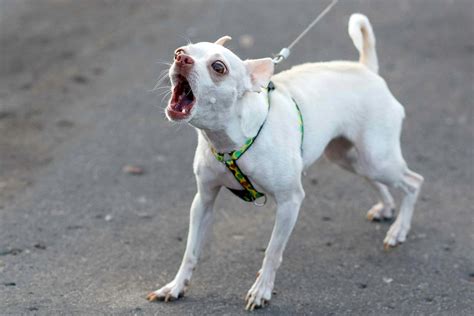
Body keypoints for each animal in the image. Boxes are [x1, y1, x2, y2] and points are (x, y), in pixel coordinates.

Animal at [146, 13, 424, 310]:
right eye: (179, 51)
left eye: (218, 67)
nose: (181, 59)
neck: (230, 143)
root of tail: (366, 69)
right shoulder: (203, 202)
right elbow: (191, 252)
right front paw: (175, 287)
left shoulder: (290, 202)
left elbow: (272, 251)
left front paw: (261, 290)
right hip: (349, 158)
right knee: (377, 180)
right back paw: (386, 208)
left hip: (377, 157)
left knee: (413, 182)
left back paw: (399, 230)